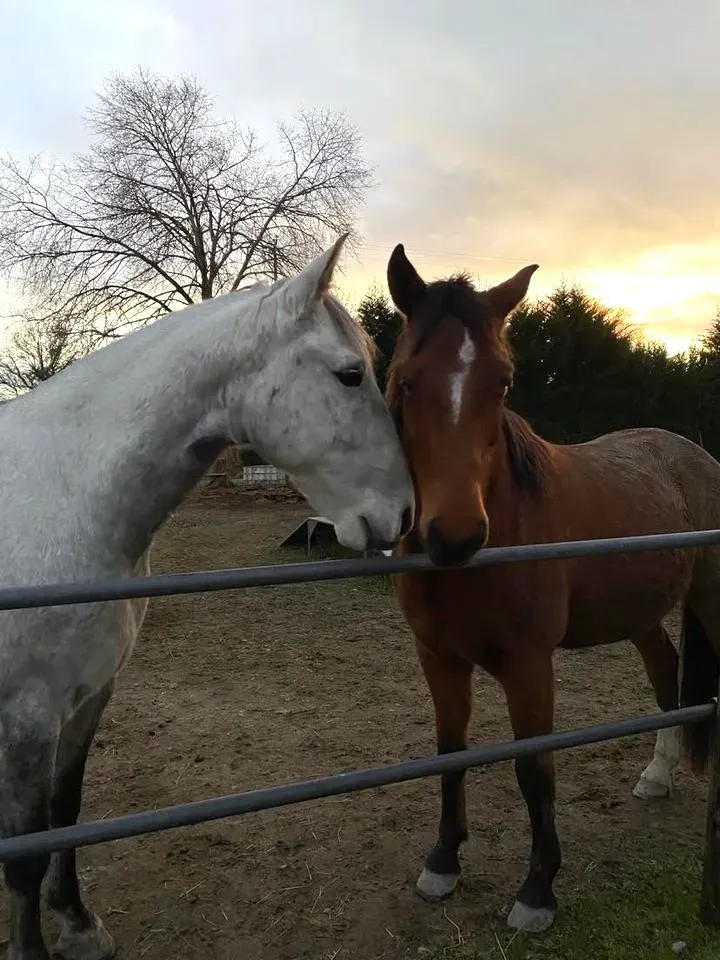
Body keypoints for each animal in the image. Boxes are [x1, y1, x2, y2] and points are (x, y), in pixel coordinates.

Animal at [0, 234, 413, 960]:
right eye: (349, 375)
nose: (404, 515)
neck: (68, 493)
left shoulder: (89, 694)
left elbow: (66, 811)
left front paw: (79, 924)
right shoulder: (30, 710)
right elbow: (24, 851)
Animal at [384, 243, 720, 934]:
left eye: (504, 382)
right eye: (406, 379)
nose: (455, 536)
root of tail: (696, 454)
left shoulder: (529, 665)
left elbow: (534, 768)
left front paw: (538, 890)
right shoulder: (439, 660)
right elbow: (449, 750)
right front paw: (442, 863)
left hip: (713, 597)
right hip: (642, 616)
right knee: (666, 674)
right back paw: (657, 774)